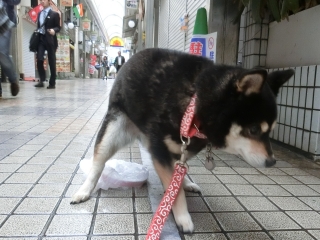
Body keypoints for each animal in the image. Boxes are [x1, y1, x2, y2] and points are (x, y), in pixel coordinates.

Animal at [72, 48, 296, 232]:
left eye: (271, 130)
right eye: (254, 129)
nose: (272, 161)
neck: (193, 105)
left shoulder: (180, 148)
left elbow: (178, 175)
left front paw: (180, 186)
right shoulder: (161, 151)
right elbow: (175, 189)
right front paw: (183, 217)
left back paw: (186, 181)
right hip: (113, 132)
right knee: (98, 164)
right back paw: (84, 190)